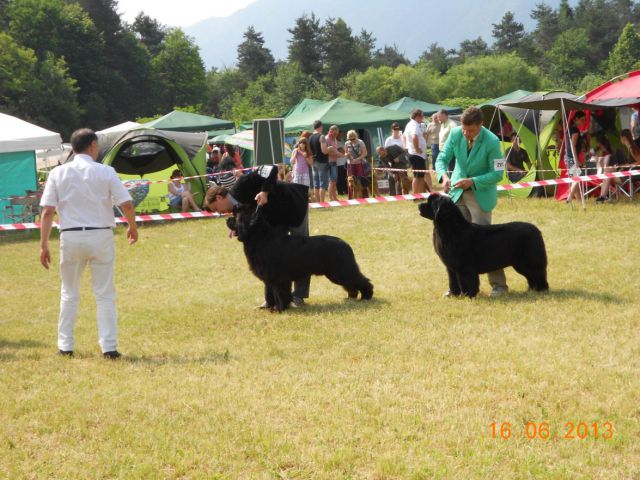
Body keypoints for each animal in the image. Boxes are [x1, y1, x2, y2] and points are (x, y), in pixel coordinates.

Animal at [228, 205, 372, 312]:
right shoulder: (269, 278)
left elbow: (280, 294)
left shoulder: (279, 278)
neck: (261, 238)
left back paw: (366, 297)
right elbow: (269, 293)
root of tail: (345, 244)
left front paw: (279, 309)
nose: (227, 219)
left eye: (237, 218)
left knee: (361, 280)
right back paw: (351, 298)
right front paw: (269, 307)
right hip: (337, 273)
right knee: (350, 284)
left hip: (341, 270)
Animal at [420, 194, 552, 298]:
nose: (419, 205)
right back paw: (531, 290)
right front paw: (454, 295)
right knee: (531, 276)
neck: (452, 228)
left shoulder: (464, 266)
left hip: (530, 260)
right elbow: (453, 282)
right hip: (520, 264)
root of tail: (536, 229)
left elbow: (466, 281)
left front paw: (468, 296)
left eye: (429, 202)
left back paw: (542, 290)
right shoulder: (451, 267)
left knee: (538, 274)